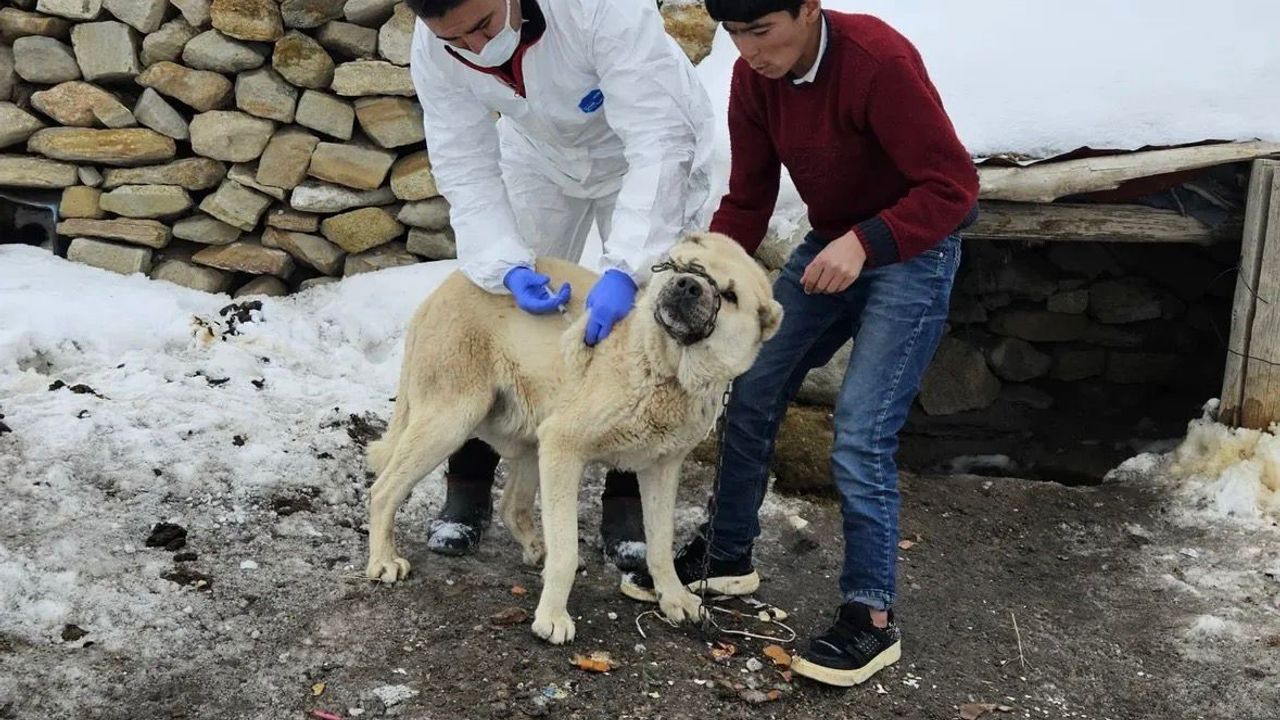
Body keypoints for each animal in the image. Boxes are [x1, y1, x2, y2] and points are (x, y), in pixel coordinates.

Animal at [364, 231, 782, 644]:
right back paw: (383, 559)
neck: (665, 371)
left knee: (512, 505)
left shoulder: (661, 469)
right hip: (453, 421)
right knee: (383, 490)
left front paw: (674, 597)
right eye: (687, 268)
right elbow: (566, 550)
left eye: (730, 295)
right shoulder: (563, 446)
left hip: (530, 440)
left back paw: (536, 548)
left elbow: (661, 544)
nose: (686, 286)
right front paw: (552, 616)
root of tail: (446, 285)